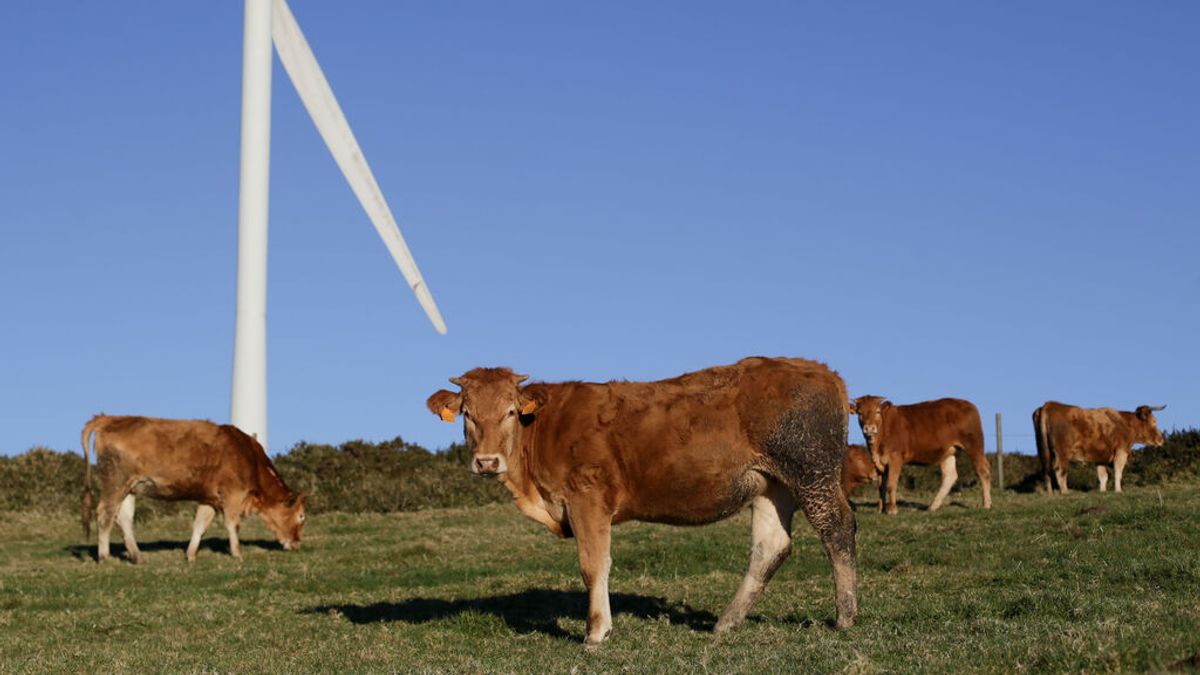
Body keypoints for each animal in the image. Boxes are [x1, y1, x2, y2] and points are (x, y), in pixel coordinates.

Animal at [79, 415, 304, 562]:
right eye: (301, 516)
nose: (297, 543)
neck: (249, 456)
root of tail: (109, 418)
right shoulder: (233, 495)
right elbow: (232, 525)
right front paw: (238, 554)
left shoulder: (209, 499)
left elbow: (200, 526)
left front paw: (191, 555)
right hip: (115, 483)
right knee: (105, 514)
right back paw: (104, 556)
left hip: (129, 488)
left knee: (123, 518)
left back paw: (137, 556)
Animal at [427, 355, 859, 643]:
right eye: (467, 413)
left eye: (511, 411)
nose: (486, 461)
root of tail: (820, 370)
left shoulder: (587, 499)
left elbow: (593, 566)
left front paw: (596, 632)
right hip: (773, 486)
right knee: (770, 546)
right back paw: (727, 622)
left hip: (811, 473)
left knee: (837, 530)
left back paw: (845, 617)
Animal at [849, 393, 988, 514]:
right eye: (860, 413)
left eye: (877, 411)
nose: (869, 428)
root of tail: (968, 404)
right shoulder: (879, 463)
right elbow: (880, 487)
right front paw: (880, 510)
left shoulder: (895, 457)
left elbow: (891, 485)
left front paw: (892, 510)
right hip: (948, 452)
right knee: (950, 475)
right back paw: (933, 506)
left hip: (974, 445)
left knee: (983, 470)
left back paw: (986, 504)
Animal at [1032, 396, 1161, 492]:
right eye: (1154, 421)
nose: (1161, 439)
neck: (1125, 423)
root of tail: (1049, 405)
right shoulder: (1121, 451)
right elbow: (1117, 472)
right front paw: (1118, 490)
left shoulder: (1100, 457)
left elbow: (1103, 476)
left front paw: (1103, 491)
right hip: (1062, 453)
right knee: (1060, 471)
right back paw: (1066, 492)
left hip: (1044, 451)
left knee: (1047, 471)